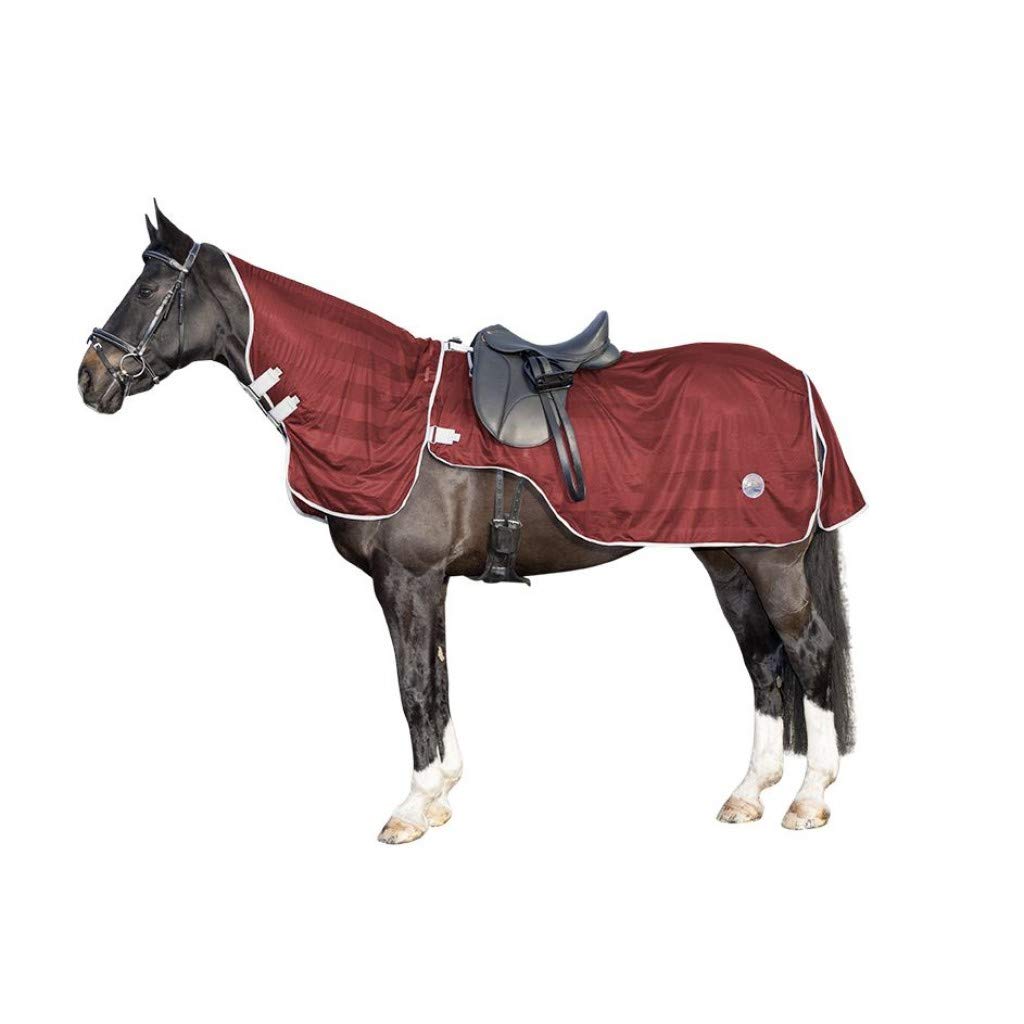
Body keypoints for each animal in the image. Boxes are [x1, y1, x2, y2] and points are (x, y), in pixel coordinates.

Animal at [78, 205, 861, 843]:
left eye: (146, 290)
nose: (90, 376)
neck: (381, 406)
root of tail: (799, 381)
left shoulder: (407, 579)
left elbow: (413, 685)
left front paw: (411, 806)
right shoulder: (431, 583)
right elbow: (440, 677)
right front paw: (442, 793)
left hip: (772, 562)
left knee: (810, 651)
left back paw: (809, 798)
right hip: (728, 558)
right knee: (764, 661)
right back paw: (748, 793)